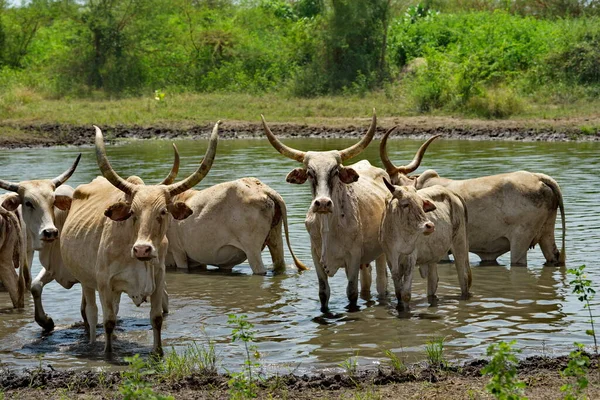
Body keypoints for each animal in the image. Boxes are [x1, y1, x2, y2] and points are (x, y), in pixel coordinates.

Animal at [60, 122, 220, 354]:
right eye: (132, 212)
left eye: (163, 211)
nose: (142, 249)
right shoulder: (104, 284)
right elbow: (108, 321)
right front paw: (108, 354)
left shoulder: (158, 280)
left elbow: (156, 319)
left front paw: (158, 352)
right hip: (86, 281)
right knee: (92, 314)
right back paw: (91, 344)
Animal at [262, 111, 390, 310]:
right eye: (309, 173)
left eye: (335, 171)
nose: (322, 203)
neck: (328, 226)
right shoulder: (316, 257)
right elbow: (323, 292)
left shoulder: (353, 257)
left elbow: (352, 292)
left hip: (381, 252)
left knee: (382, 282)